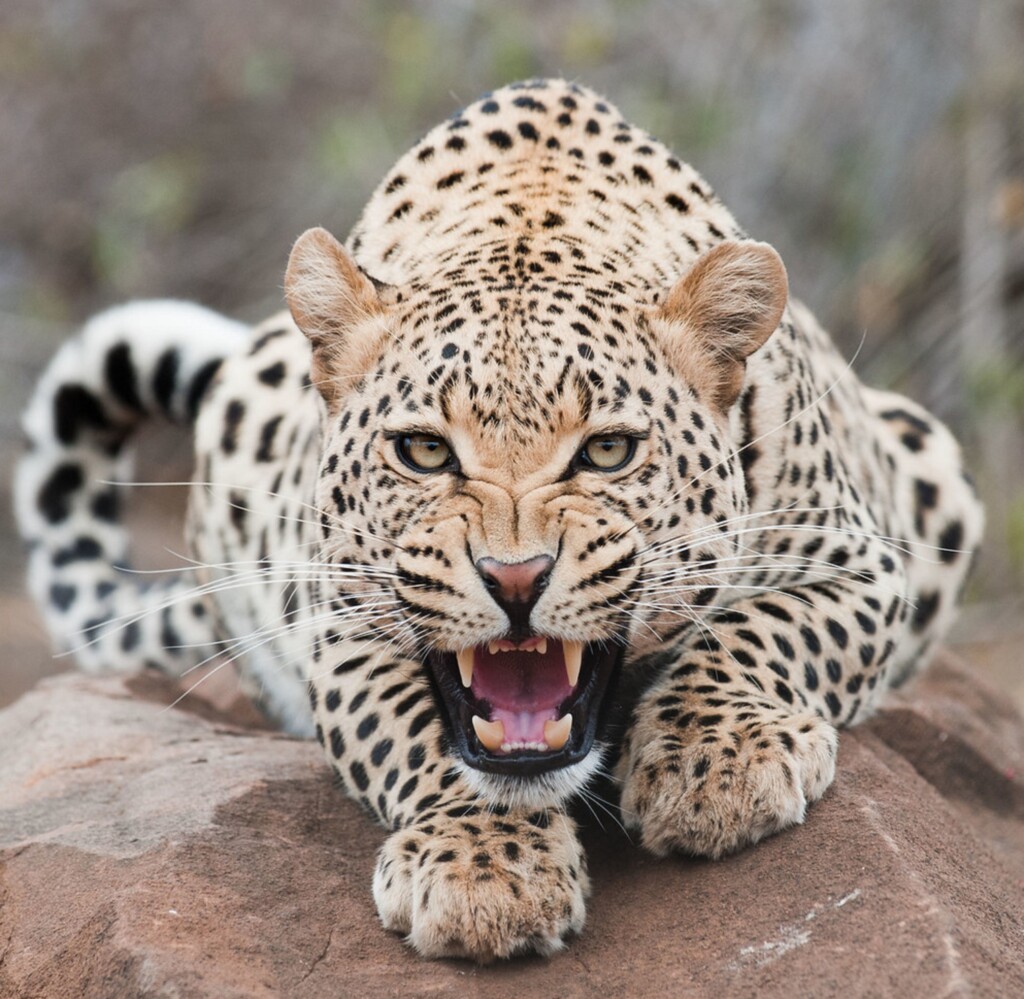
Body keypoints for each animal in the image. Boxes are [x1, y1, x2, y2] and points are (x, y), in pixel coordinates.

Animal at [15, 79, 983, 961]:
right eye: (424, 451)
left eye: (607, 451)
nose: (515, 578)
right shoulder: (340, 621)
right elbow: (415, 733)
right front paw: (484, 869)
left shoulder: (860, 560)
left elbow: (765, 628)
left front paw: (717, 763)